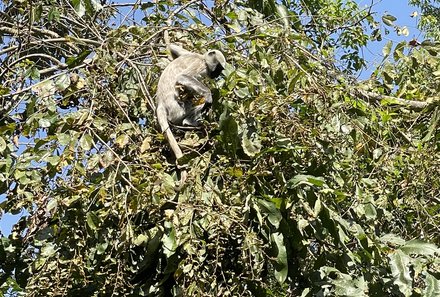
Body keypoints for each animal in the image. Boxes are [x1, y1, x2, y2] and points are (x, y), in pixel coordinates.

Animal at [156, 42, 225, 188]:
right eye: (218, 69)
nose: (216, 75)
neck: (201, 58)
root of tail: (160, 104)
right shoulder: (200, 65)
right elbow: (183, 77)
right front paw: (208, 95)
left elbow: (173, 47)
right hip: (178, 110)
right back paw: (190, 121)